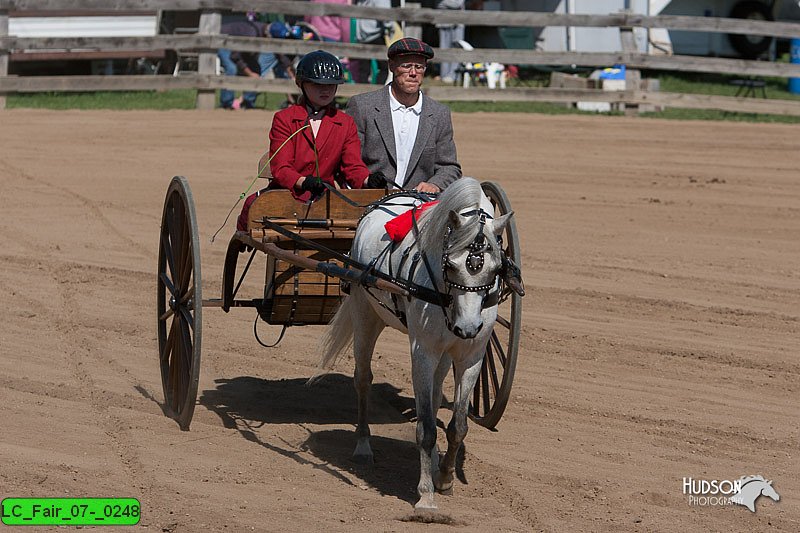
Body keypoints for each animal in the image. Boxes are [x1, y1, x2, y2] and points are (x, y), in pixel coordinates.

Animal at [312, 178, 512, 508]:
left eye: (496, 269)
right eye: (451, 264)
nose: (468, 327)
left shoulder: (471, 355)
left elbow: (458, 424)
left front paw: (445, 478)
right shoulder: (423, 351)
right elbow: (426, 428)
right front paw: (426, 495)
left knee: (434, 393)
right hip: (365, 313)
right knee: (363, 379)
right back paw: (363, 445)